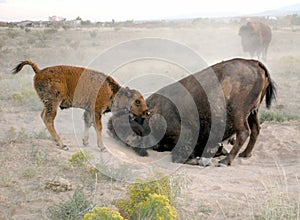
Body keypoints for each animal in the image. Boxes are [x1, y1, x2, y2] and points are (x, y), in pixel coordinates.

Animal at [12, 61, 150, 150]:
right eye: (137, 101)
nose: (147, 112)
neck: (111, 89)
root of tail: (39, 71)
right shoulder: (96, 111)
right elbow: (98, 127)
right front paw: (102, 147)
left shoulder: (89, 110)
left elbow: (87, 123)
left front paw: (85, 142)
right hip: (54, 103)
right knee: (48, 119)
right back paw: (62, 145)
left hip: (48, 104)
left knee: (43, 116)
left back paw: (57, 142)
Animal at [108, 57, 276, 166]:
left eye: (131, 126)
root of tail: (253, 63)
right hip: (253, 112)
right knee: (255, 129)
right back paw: (244, 154)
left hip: (238, 113)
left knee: (244, 132)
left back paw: (225, 161)